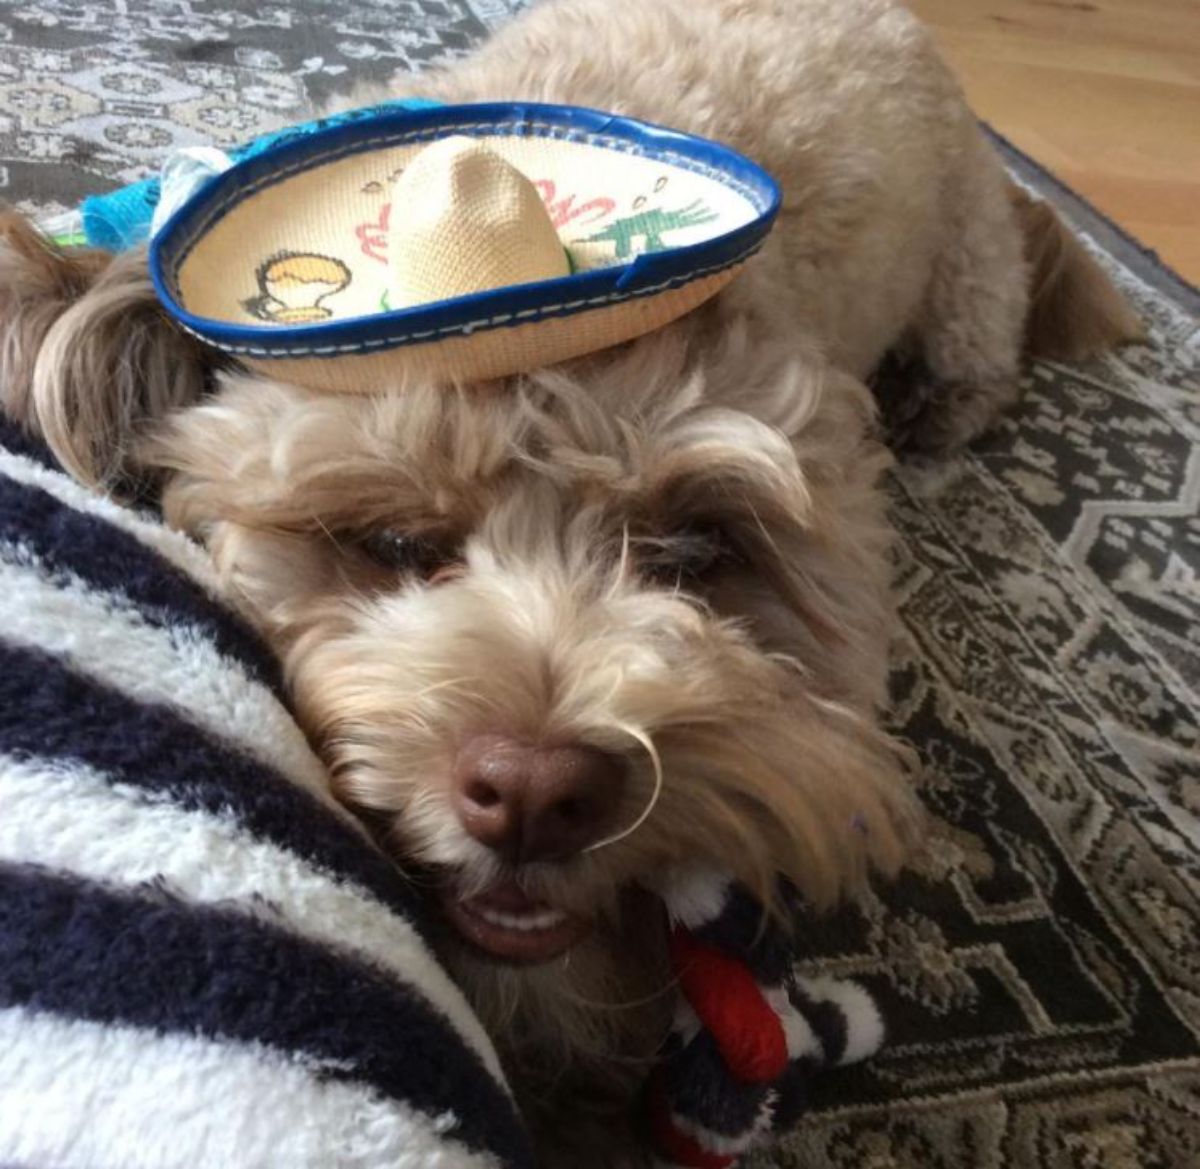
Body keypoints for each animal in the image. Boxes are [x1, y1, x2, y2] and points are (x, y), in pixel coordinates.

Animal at [0, 2, 1137, 1161]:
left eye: (693, 549)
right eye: (395, 539)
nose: (540, 795)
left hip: (967, 272)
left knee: (983, 356)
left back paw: (936, 414)